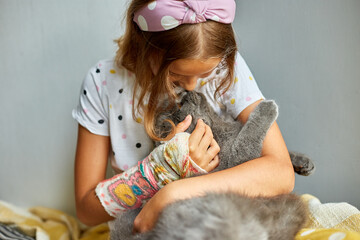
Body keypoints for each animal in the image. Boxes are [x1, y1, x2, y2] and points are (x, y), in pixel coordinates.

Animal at [110, 91, 316, 239]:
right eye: (180, 104)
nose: (185, 92)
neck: (218, 126)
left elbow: (282, 154)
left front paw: (303, 163)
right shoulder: (237, 158)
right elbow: (251, 133)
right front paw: (267, 107)